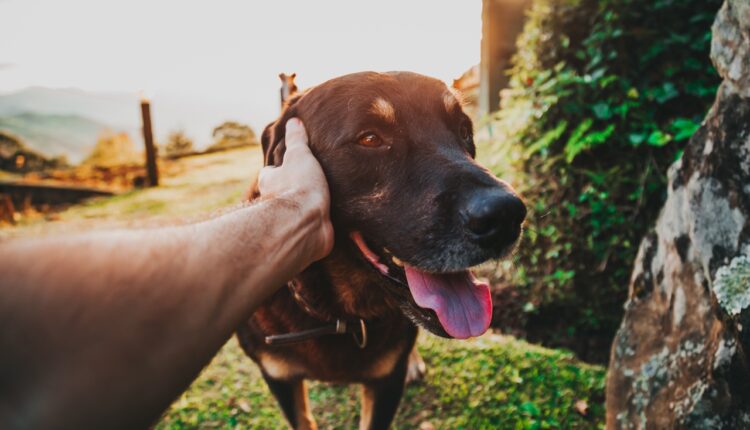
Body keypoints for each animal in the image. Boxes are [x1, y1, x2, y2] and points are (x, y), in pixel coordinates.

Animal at [238, 71, 524, 430]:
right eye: (370, 138)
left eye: (463, 130)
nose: (507, 216)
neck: (339, 316)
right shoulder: (279, 377)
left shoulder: (387, 381)